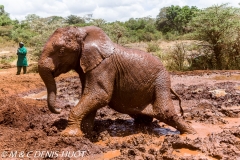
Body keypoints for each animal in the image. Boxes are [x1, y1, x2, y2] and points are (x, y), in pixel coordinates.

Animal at [37, 26, 195, 136]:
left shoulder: (104, 66)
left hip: (161, 80)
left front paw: (69, 135)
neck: (83, 32)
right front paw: (87, 134)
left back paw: (191, 134)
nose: (59, 109)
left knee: (165, 111)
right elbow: (90, 95)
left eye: (61, 51)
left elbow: (99, 94)